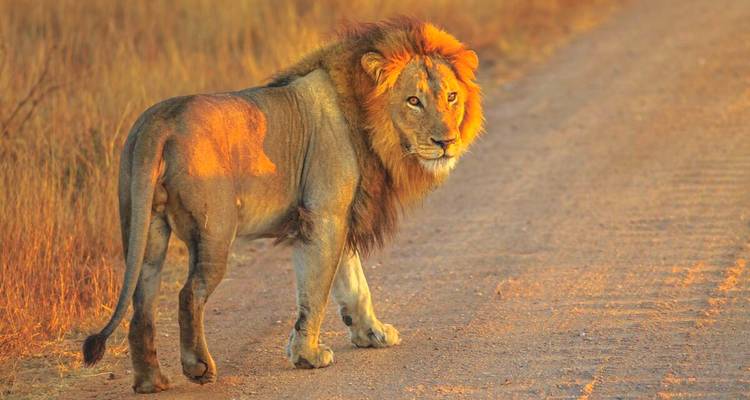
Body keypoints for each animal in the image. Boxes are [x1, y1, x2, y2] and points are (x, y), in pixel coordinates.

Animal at [82, 18, 482, 393]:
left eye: (451, 96)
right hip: (214, 232)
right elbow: (316, 290)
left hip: (146, 228)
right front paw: (308, 355)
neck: (368, 119)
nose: (446, 142)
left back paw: (151, 381)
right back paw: (198, 367)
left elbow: (354, 283)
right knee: (188, 294)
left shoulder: (341, 215)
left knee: (142, 303)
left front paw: (372, 333)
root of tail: (159, 121)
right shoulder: (324, 215)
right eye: (414, 101)